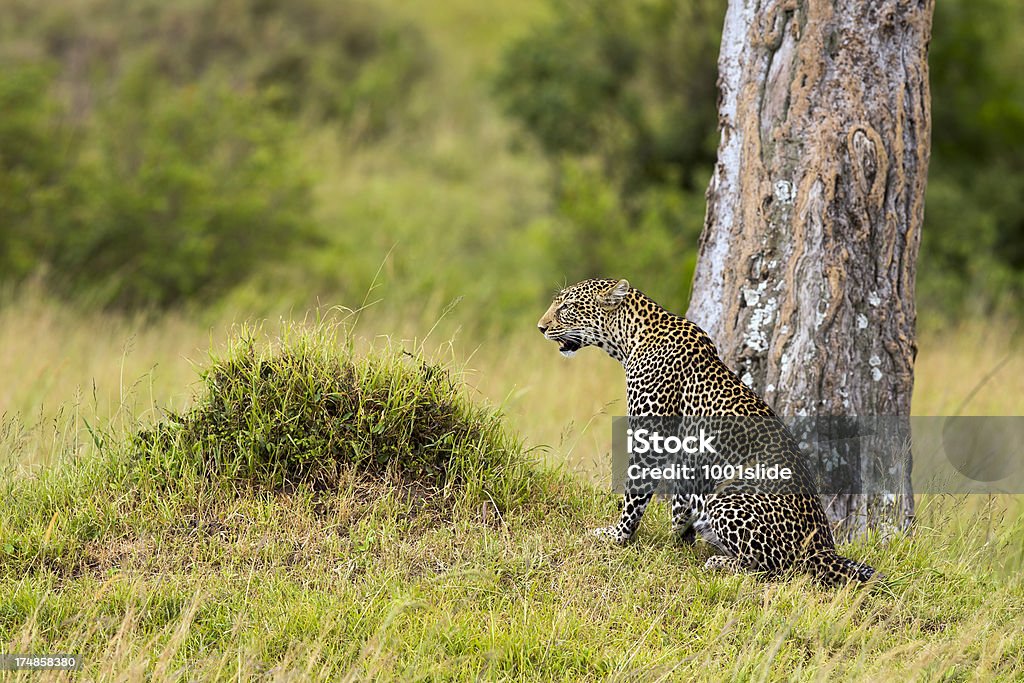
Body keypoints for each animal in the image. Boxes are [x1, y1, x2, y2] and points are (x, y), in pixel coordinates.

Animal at [536, 278, 880, 589]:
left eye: (566, 307)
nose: (540, 327)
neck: (629, 339)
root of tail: (825, 547)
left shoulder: (652, 437)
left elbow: (635, 494)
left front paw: (617, 536)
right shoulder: (687, 453)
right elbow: (679, 503)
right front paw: (677, 540)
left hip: (729, 497)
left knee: (779, 568)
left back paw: (719, 561)